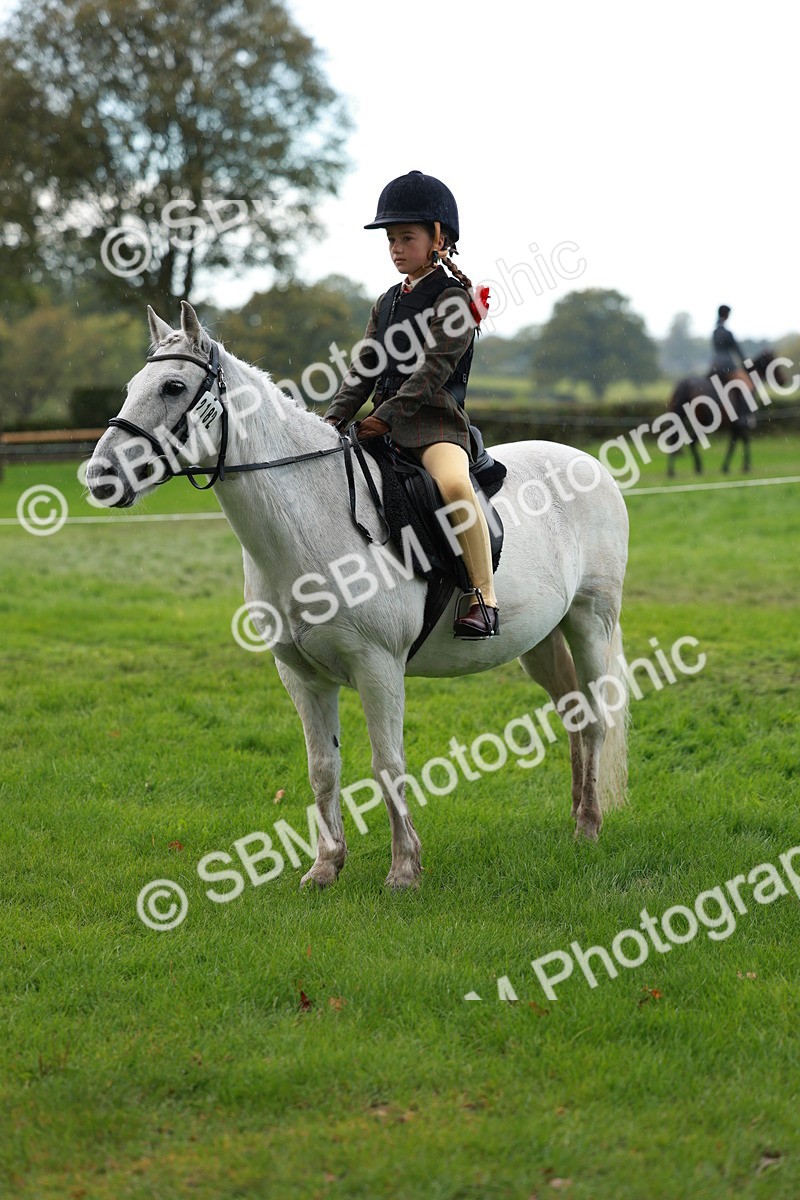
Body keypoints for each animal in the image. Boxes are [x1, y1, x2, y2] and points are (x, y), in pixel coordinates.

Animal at [85, 302, 630, 889]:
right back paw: (577, 814)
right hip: (540, 640)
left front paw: (404, 870)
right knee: (572, 712)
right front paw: (325, 867)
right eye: (131, 386)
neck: (311, 518)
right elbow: (323, 768)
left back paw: (590, 826)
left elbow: (387, 765)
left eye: (172, 386)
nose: (99, 476)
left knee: (595, 717)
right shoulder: (301, 677)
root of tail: (591, 465)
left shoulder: (378, 667)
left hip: (590, 622)